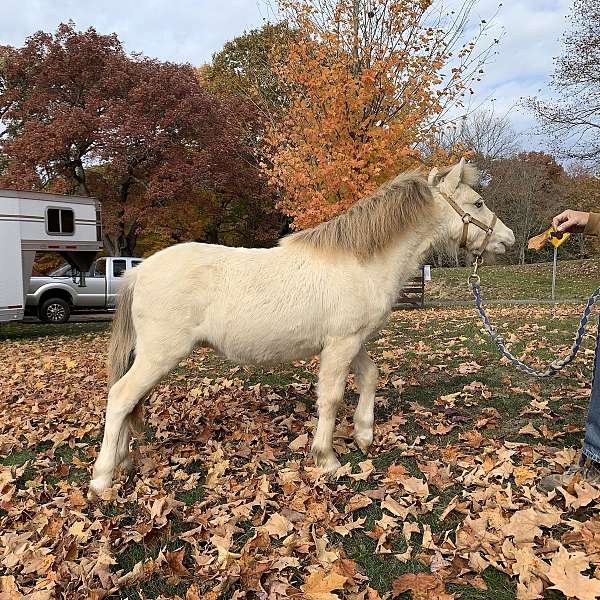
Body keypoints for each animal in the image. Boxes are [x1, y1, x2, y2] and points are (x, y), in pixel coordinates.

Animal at [89, 159, 516, 496]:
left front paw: (364, 435)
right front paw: (326, 458)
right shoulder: (340, 345)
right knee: (121, 397)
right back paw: (101, 480)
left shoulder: (352, 342)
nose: (508, 239)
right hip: (159, 356)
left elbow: (371, 376)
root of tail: (138, 272)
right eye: (477, 203)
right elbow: (330, 398)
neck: (360, 262)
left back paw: (123, 462)